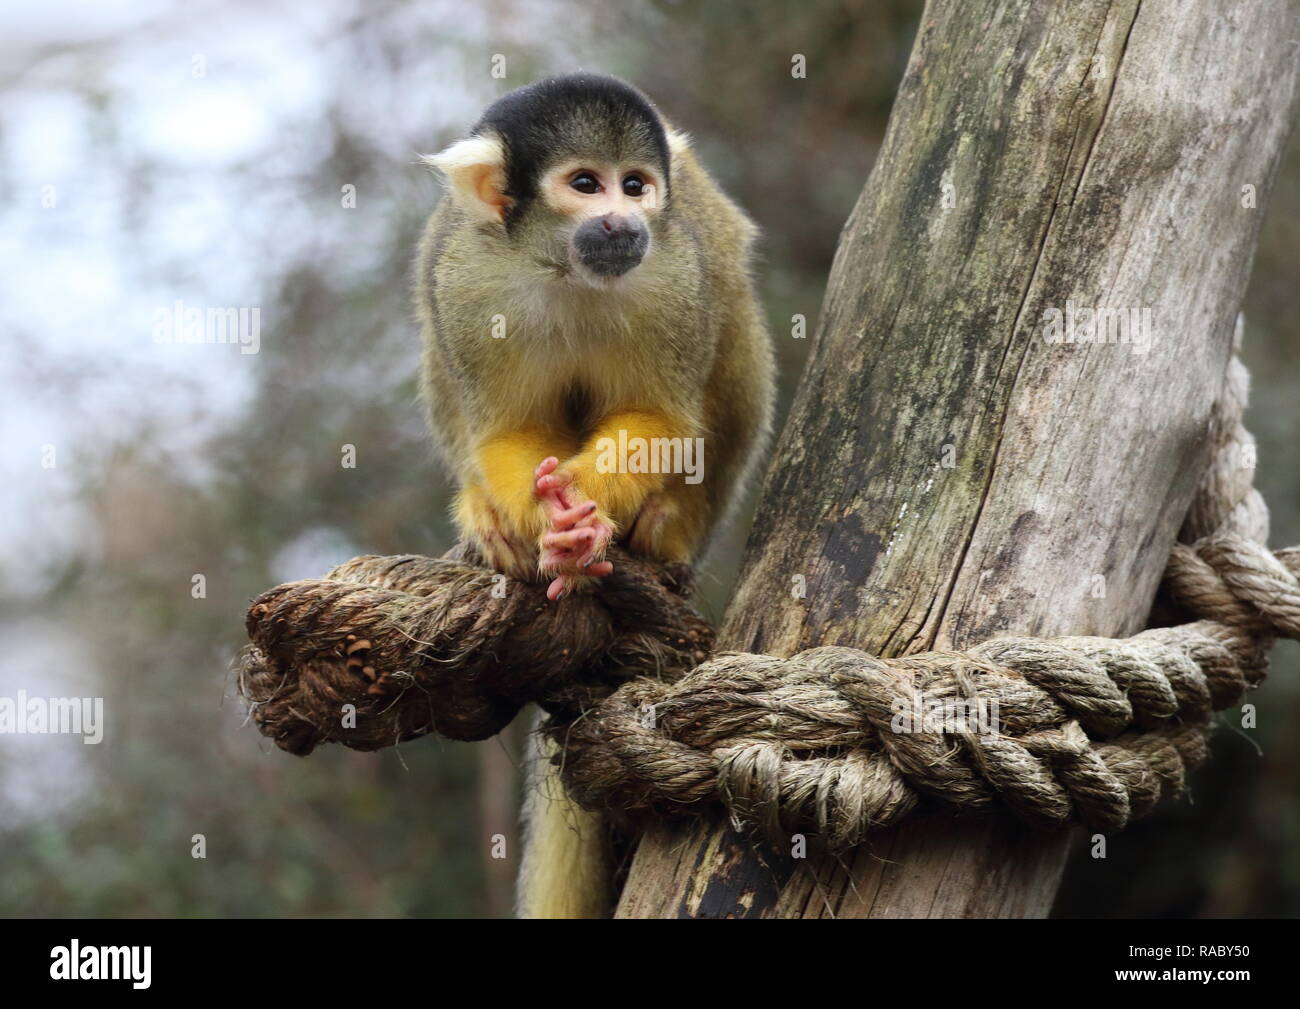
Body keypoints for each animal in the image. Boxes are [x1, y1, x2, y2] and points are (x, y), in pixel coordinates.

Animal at [414, 73, 775, 917]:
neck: (565, 270)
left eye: (634, 185)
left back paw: (666, 524)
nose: (623, 218)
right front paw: (545, 524)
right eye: (586, 184)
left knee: (732, 312)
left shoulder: (674, 277)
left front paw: (582, 518)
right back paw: (489, 520)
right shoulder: (470, 284)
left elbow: (663, 419)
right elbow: (508, 429)